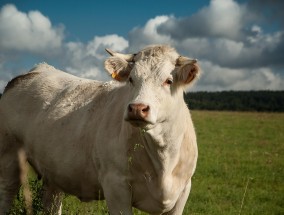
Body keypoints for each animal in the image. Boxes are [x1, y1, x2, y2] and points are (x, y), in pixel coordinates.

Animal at [0, 44, 200, 214]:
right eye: (131, 79)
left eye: (168, 80)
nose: (137, 108)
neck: (163, 159)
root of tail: (37, 70)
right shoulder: (115, 186)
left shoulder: (183, 191)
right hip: (9, 157)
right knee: (6, 193)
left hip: (53, 169)